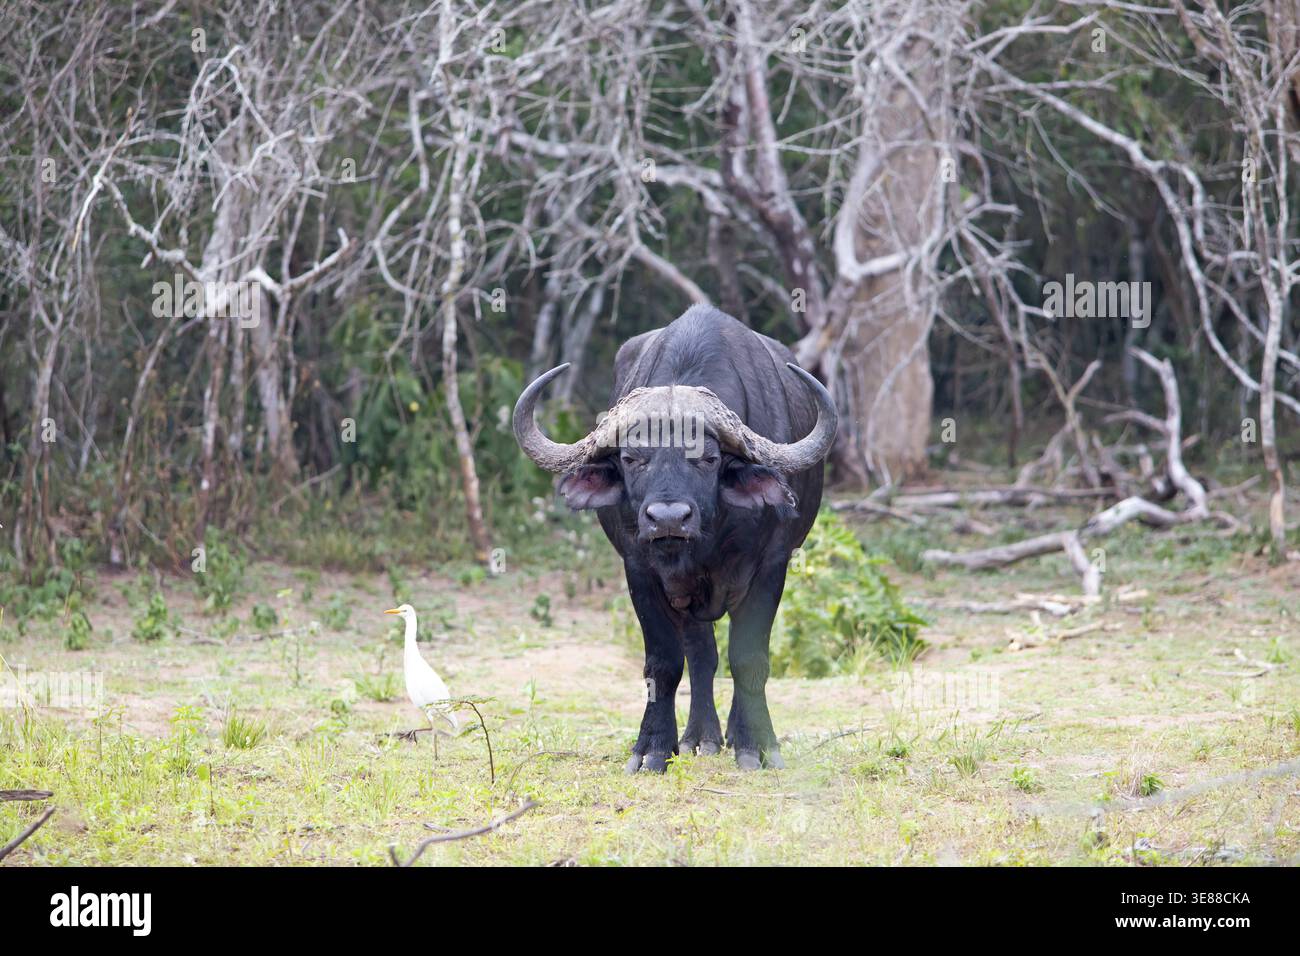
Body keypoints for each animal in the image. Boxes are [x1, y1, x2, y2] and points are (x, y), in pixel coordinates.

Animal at [513, 305, 837, 772]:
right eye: (631, 458)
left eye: (708, 458)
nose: (668, 519)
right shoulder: (639, 569)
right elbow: (665, 662)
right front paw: (652, 748)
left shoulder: (772, 566)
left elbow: (749, 657)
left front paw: (757, 745)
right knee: (703, 655)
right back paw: (701, 737)